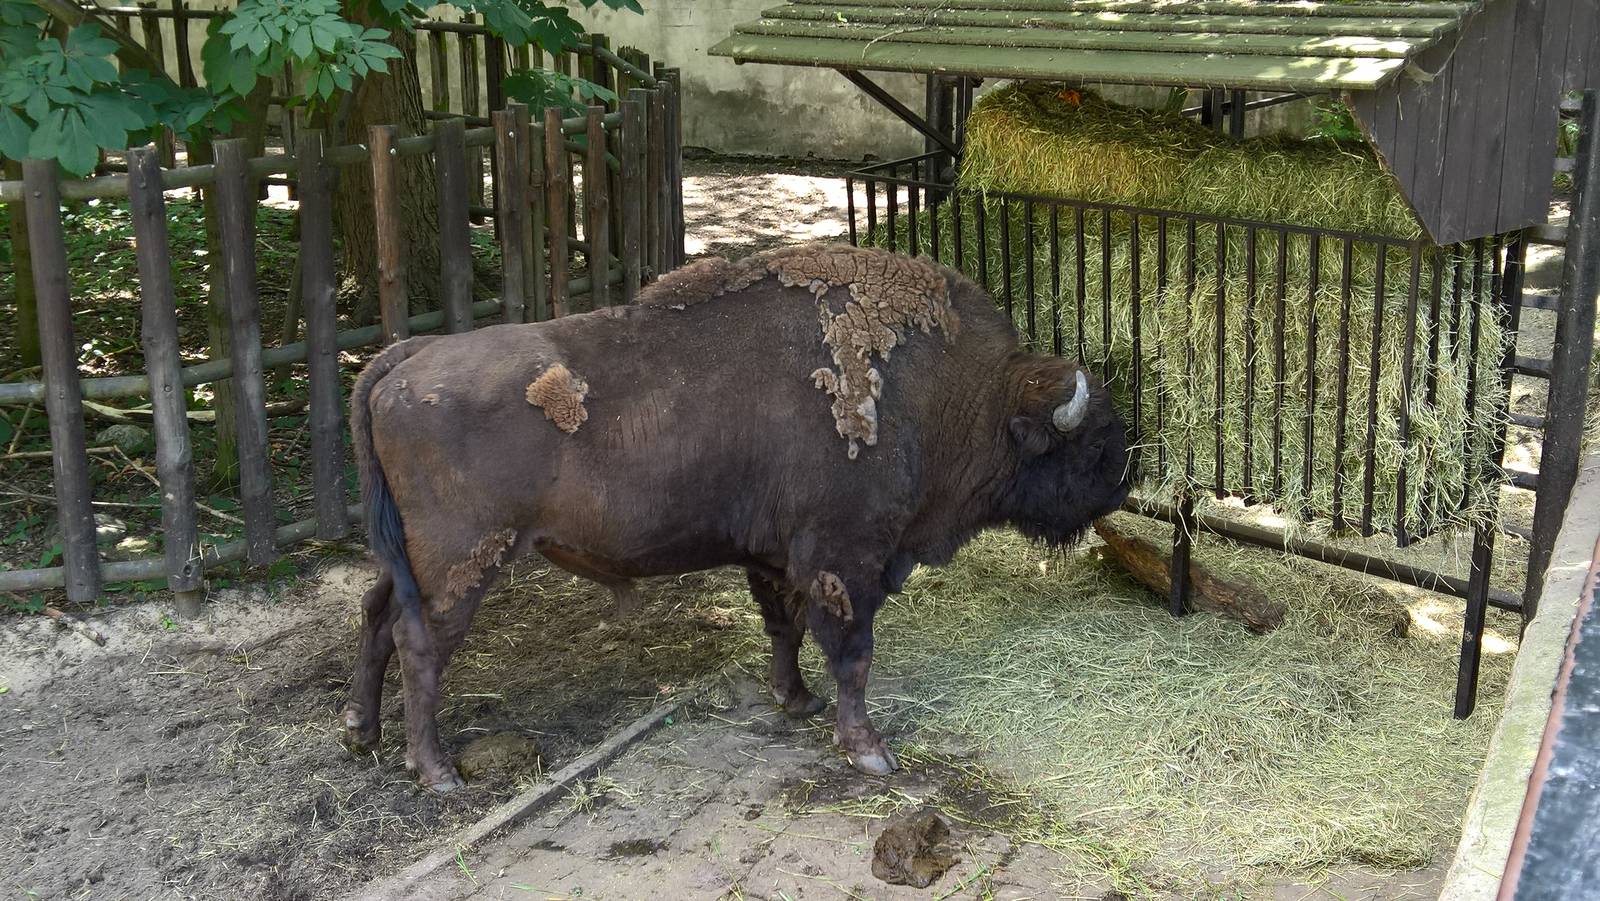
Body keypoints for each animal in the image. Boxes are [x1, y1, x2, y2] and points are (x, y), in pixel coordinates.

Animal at [344, 243, 1130, 791]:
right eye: (1091, 443)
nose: (1121, 488)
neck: (963, 395)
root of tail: (401, 360)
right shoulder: (847, 561)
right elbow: (853, 653)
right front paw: (869, 750)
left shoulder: (776, 556)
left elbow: (786, 627)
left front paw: (796, 700)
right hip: (463, 560)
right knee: (420, 643)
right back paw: (437, 770)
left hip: (411, 557)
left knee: (377, 615)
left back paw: (361, 732)